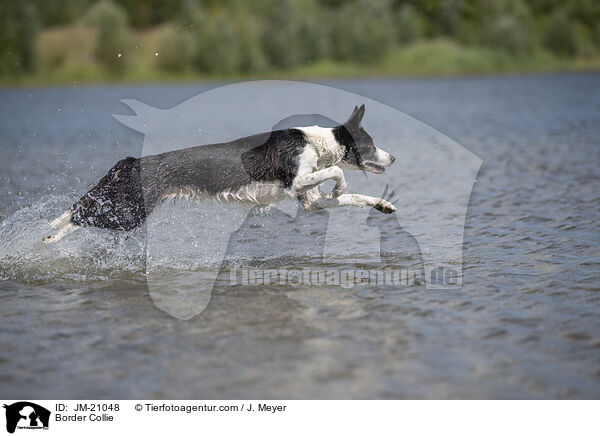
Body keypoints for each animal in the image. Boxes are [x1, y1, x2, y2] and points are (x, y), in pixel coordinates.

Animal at [44, 104, 396, 244]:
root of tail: (132, 161)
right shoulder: (296, 179)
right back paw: (50, 237)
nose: (393, 156)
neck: (318, 142)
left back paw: (51, 228)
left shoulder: (309, 201)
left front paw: (383, 205)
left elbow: (355, 197)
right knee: (81, 215)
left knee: (82, 206)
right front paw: (339, 184)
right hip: (131, 213)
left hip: (124, 204)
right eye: (370, 144)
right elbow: (337, 171)